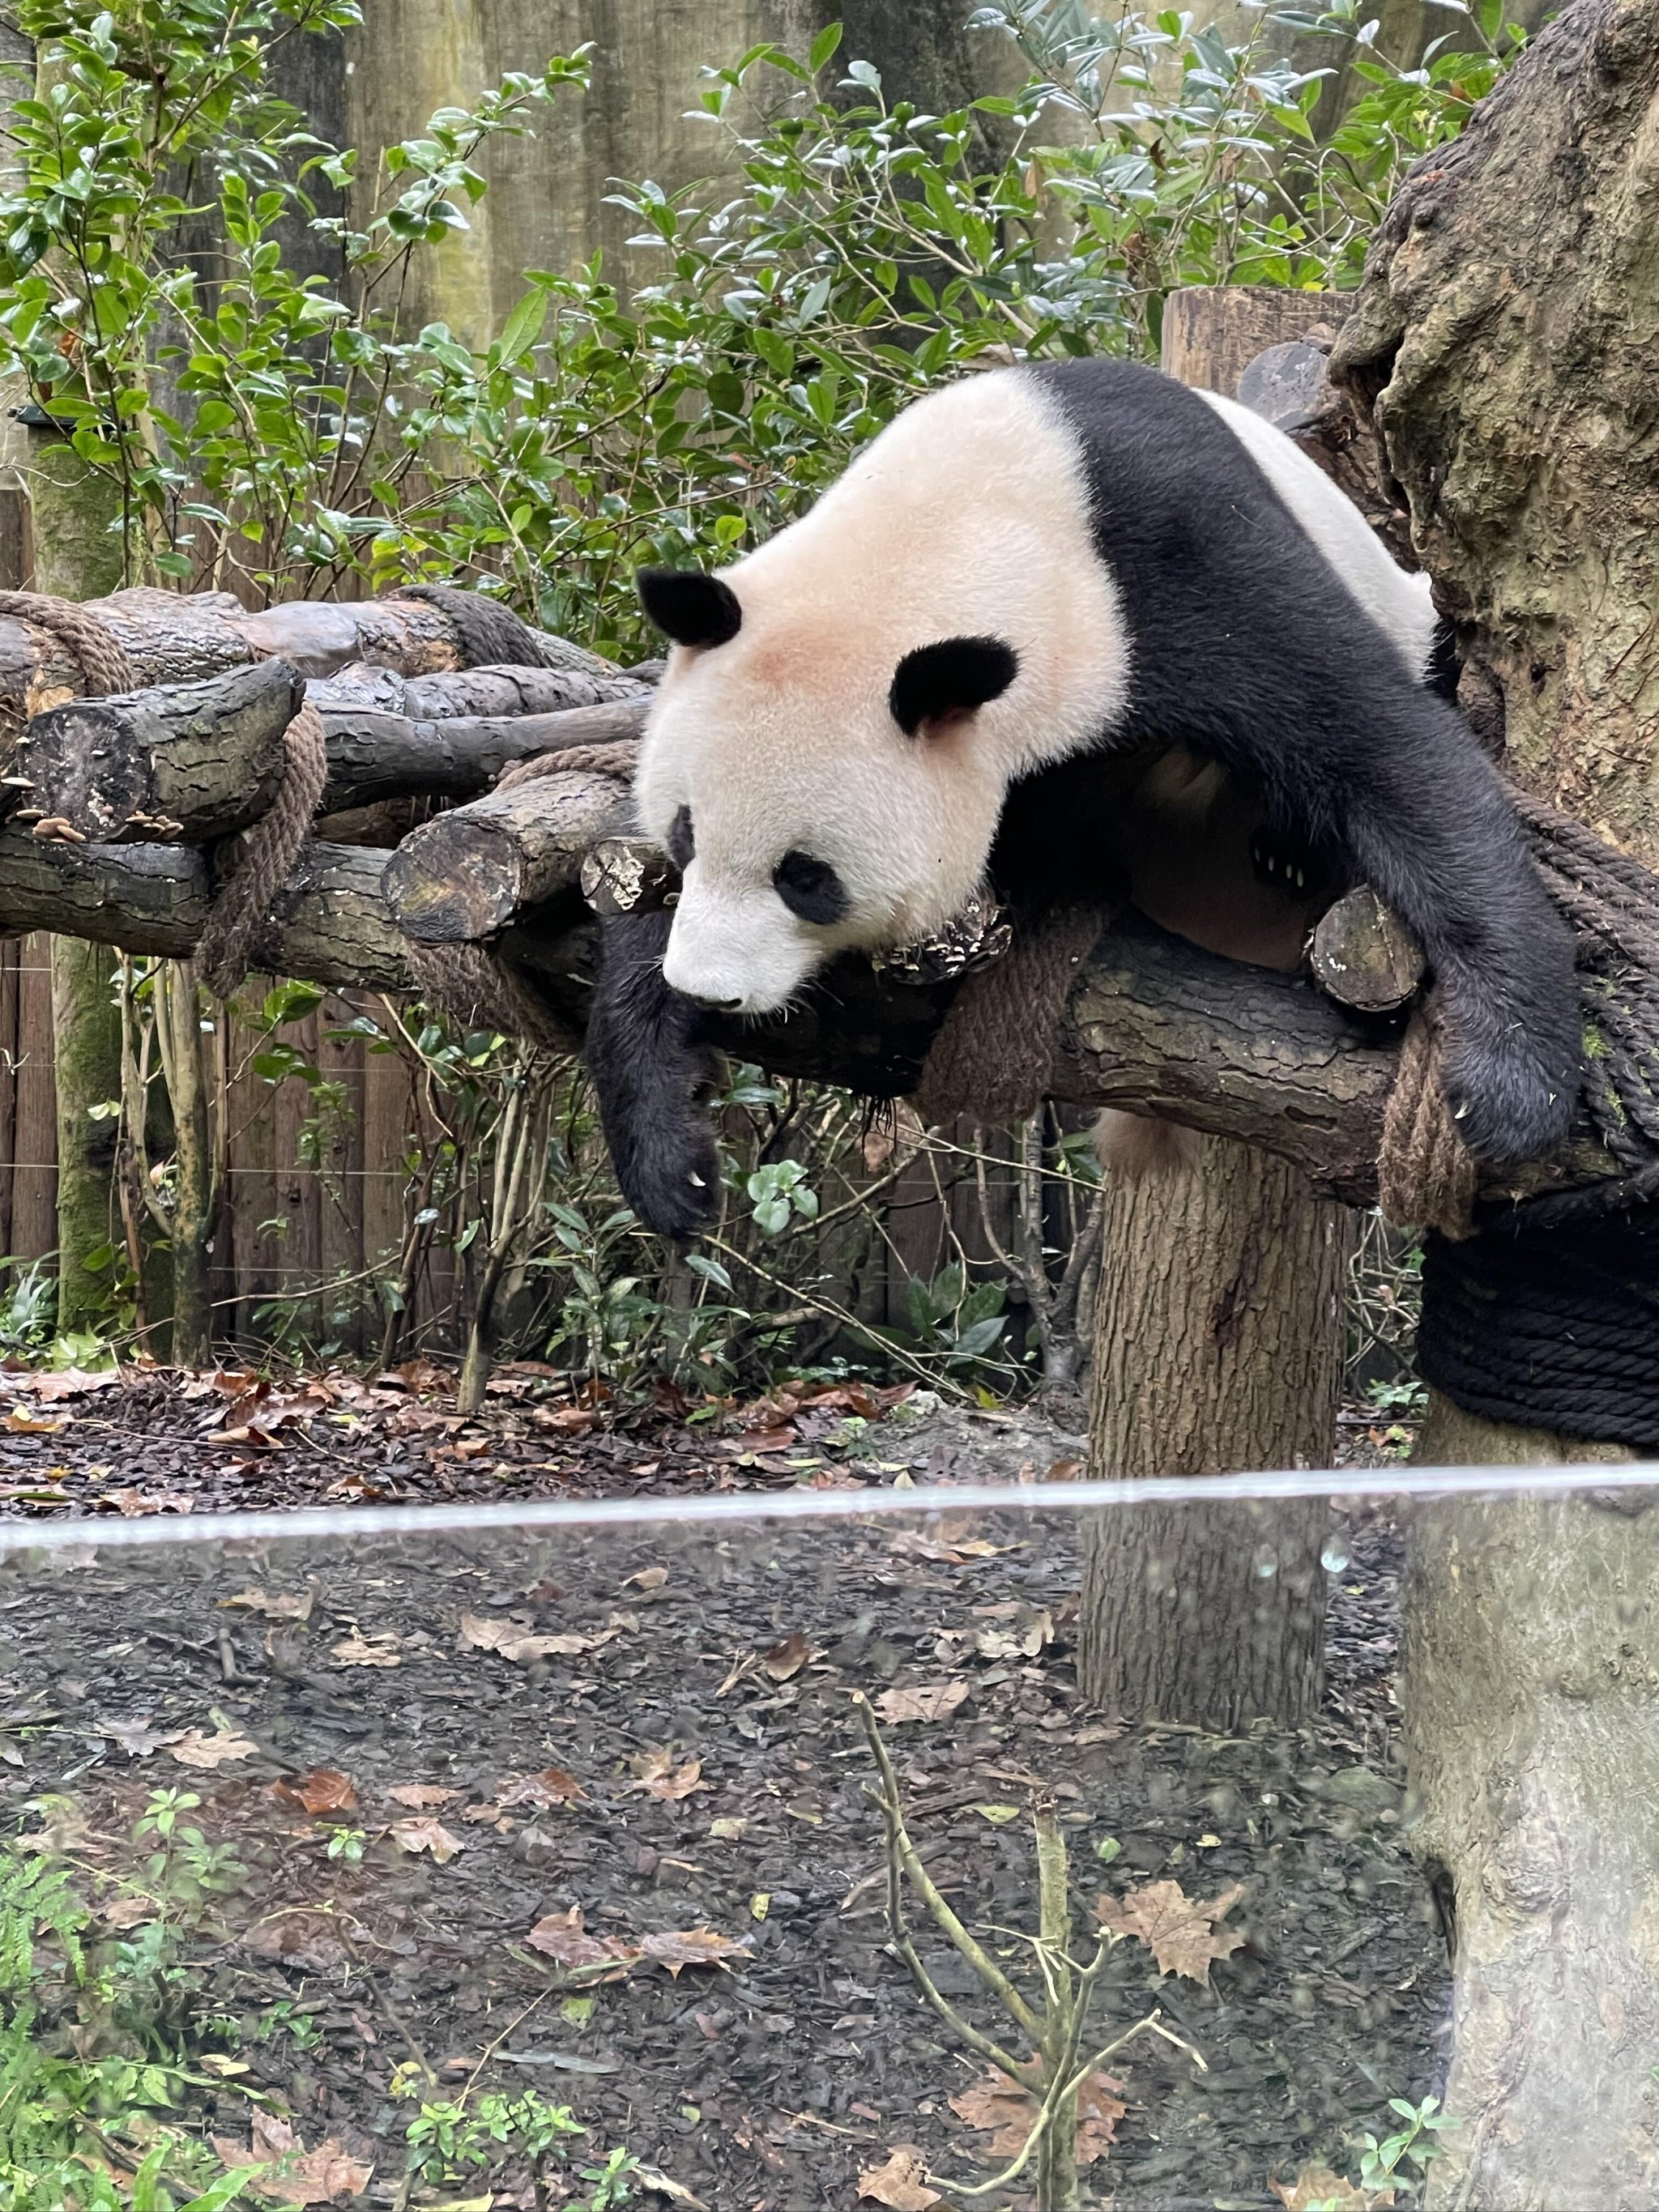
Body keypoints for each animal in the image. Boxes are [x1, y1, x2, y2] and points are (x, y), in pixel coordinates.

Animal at [588, 353, 1584, 1238]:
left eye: (805, 877)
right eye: (685, 833)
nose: (709, 989)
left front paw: (1514, 1084)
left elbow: (1383, 747)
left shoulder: (1171, 568)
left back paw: (1284, 851)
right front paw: (668, 1149)